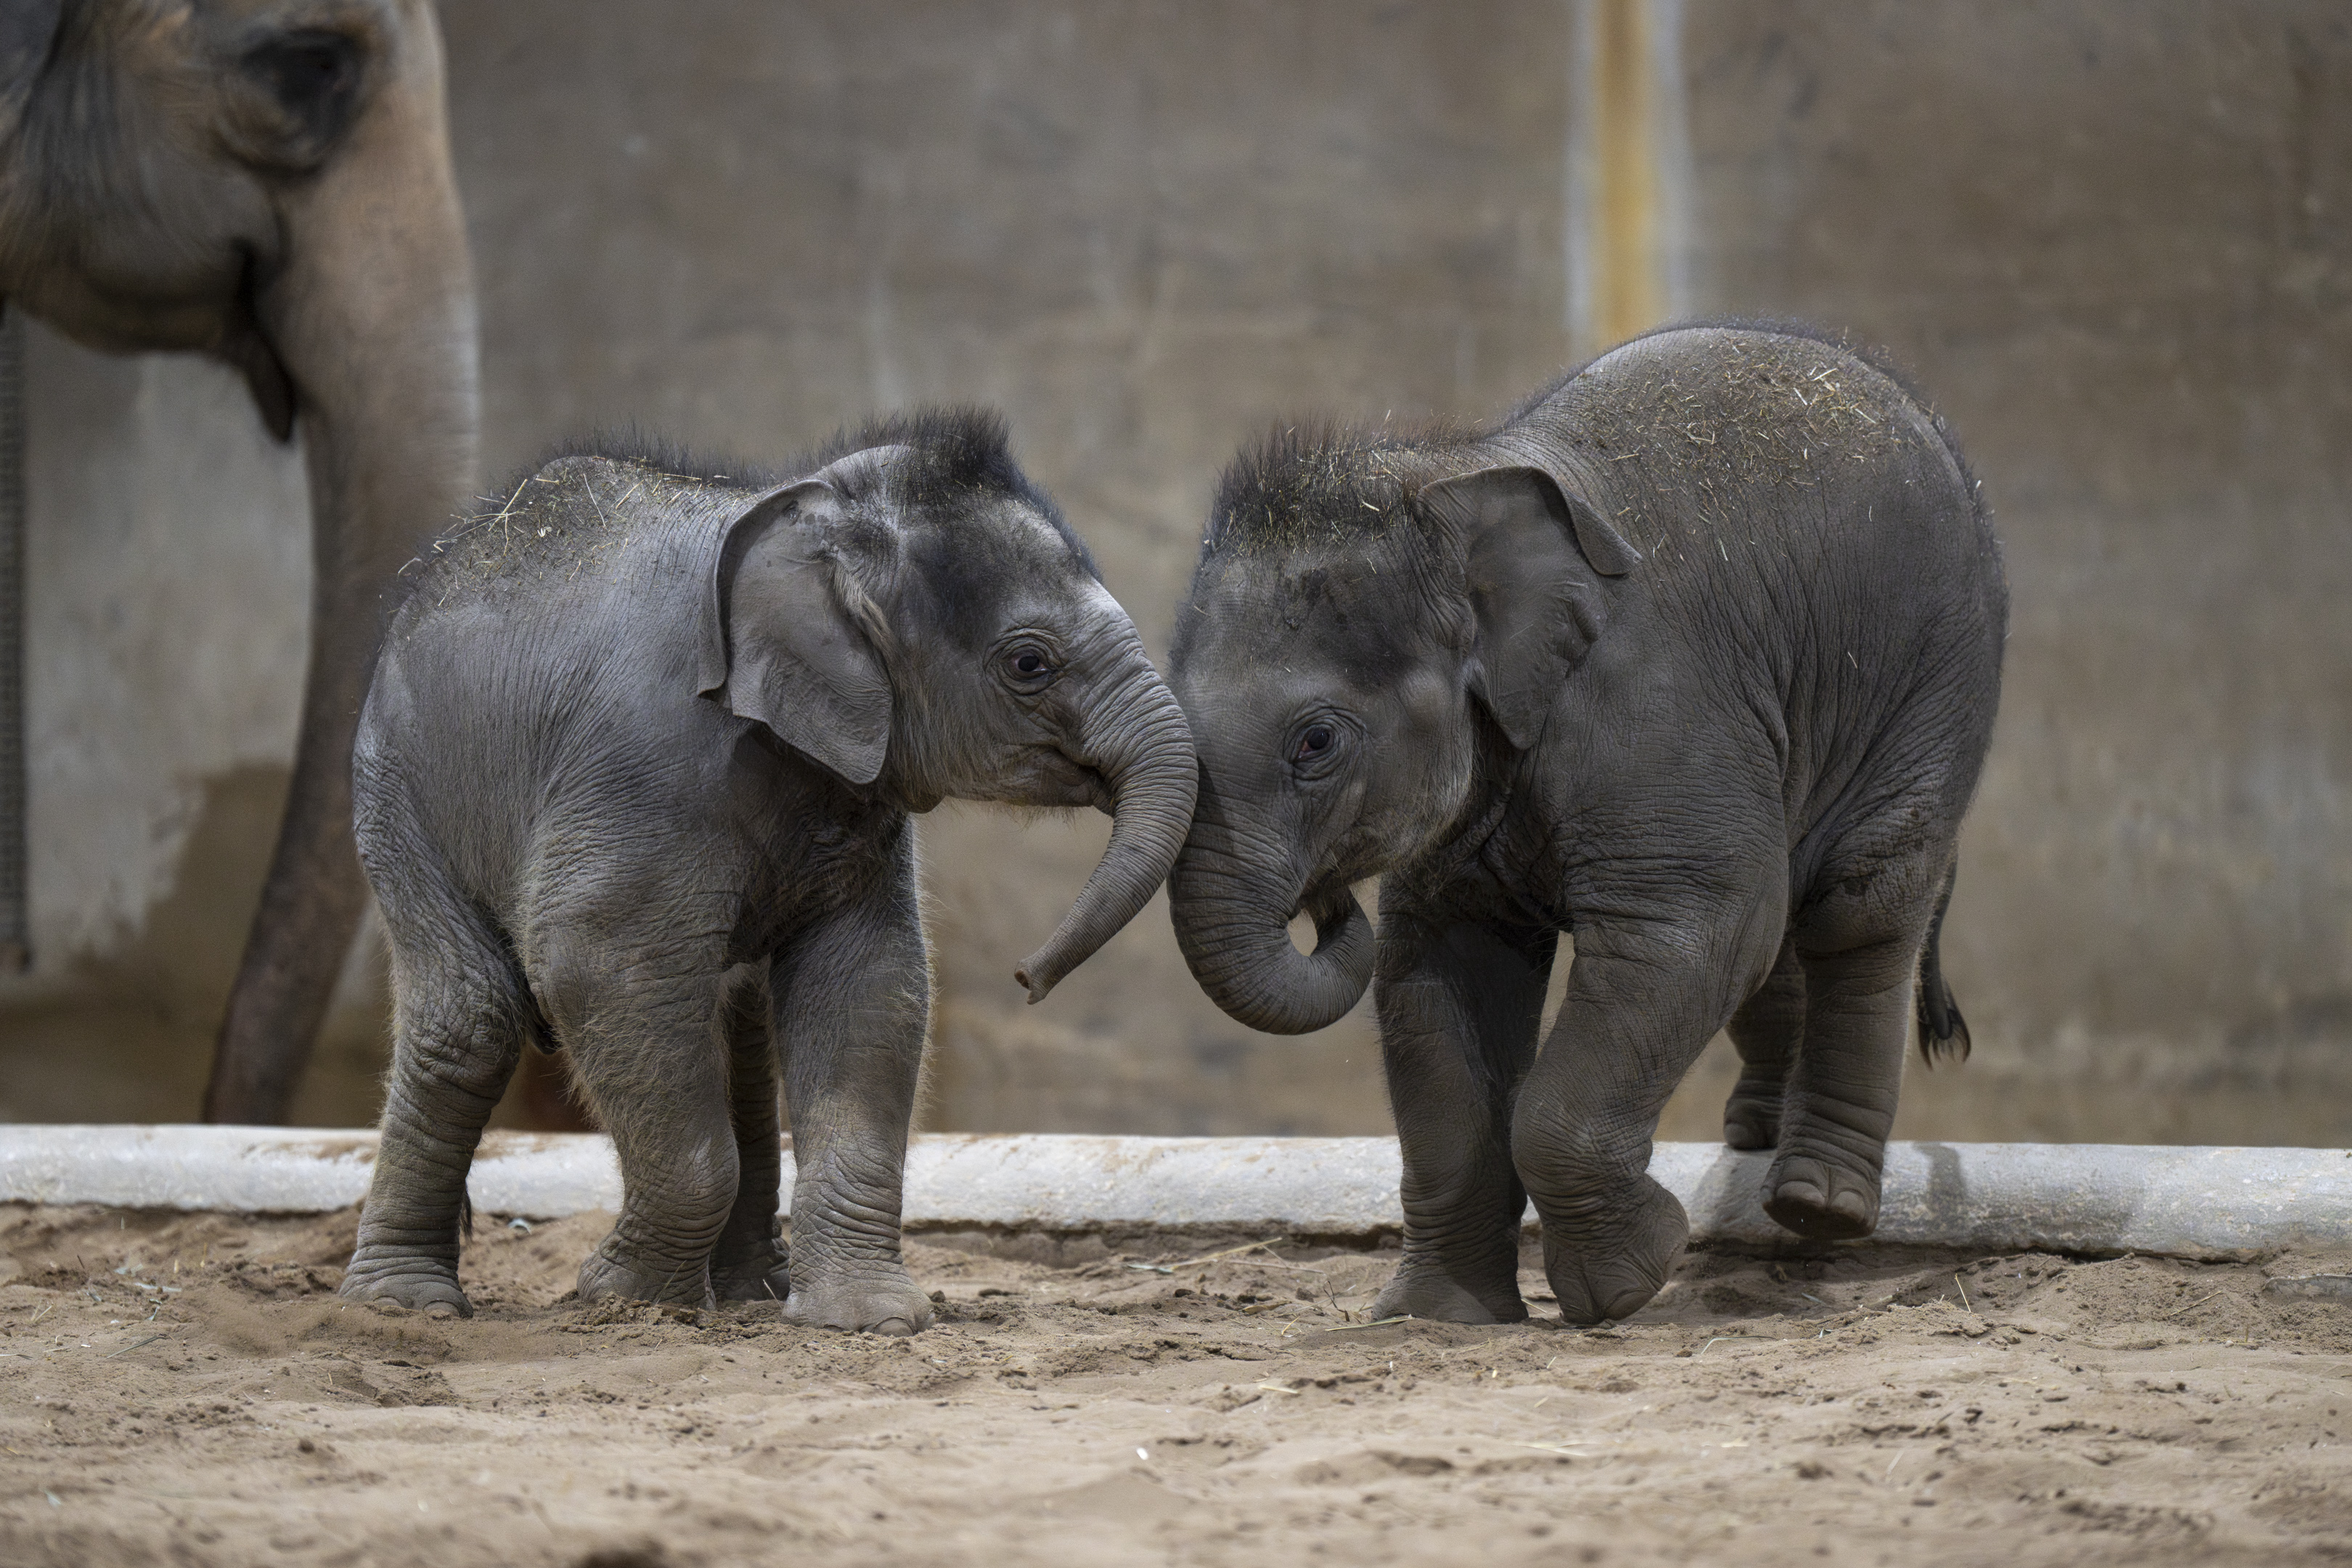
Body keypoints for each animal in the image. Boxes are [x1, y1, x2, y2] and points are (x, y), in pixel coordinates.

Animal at [337, 411, 1197, 1333]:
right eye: (1030, 664)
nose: (1026, 977)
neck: (807, 512)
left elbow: (871, 984)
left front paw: (866, 1319)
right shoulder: (643, 766)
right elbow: (597, 962)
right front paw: (624, 1298)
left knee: (737, 1026)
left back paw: (751, 1290)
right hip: (399, 796)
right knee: (473, 1017)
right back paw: (403, 1305)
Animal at [1165, 323, 2006, 1325]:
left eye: (1316, 741)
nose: (1327, 901)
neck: (1447, 483)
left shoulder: (1657, 710)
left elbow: (1692, 929)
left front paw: (1626, 1282)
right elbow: (1439, 972)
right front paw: (1438, 1316)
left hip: (1937, 684)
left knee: (1858, 907)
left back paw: (1816, 1206)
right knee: (1781, 936)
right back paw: (1753, 1135)